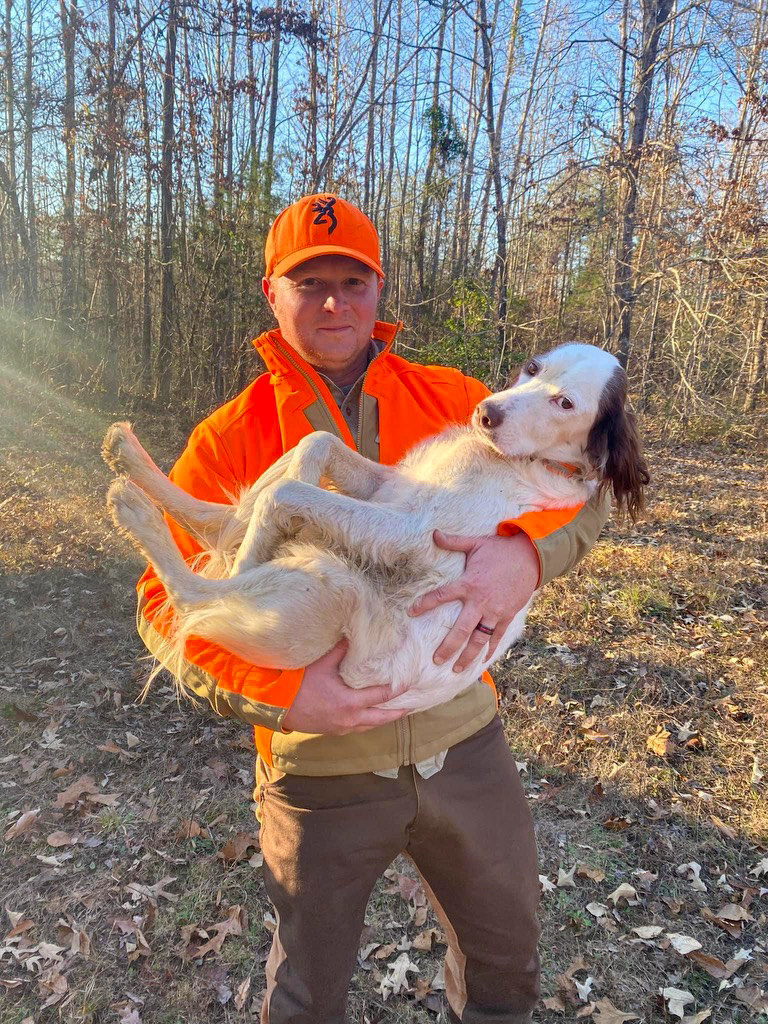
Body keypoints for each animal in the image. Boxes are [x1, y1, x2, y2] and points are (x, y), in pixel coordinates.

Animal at [105, 344, 651, 712]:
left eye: (566, 404)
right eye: (534, 369)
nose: (485, 413)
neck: (512, 459)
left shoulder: (411, 532)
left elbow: (286, 494)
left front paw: (248, 552)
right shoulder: (389, 487)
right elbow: (313, 446)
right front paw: (258, 518)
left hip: (332, 586)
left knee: (193, 592)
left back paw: (139, 511)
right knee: (217, 523)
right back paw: (131, 458)